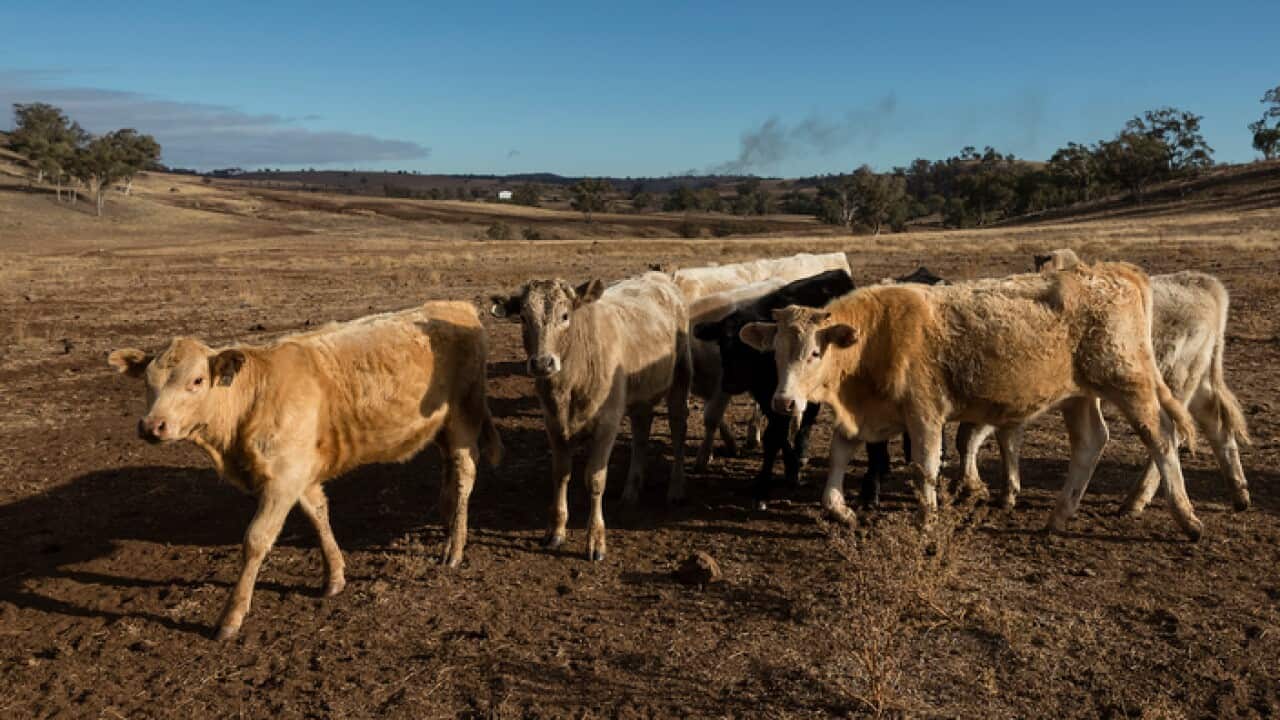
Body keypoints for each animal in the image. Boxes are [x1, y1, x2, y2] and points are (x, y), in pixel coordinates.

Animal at [108, 301, 502, 640]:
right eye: (147, 382)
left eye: (197, 381)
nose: (152, 426)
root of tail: (457, 306)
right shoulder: (300, 474)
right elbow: (318, 515)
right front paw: (335, 576)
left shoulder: (282, 478)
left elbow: (256, 539)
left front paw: (231, 617)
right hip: (441, 428)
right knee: (448, 469)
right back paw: (446, 515)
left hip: (464, 418)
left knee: (464, 474)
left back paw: (454, 547)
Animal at [490, 272, 691, 561]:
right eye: (524, 317)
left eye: (565, 316)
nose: (542, 363)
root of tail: (659, 276)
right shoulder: (554, 425)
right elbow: (561, 474)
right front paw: (556, 531)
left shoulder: (607, 424)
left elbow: (595, 480)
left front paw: (596, 540)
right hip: (639, 394)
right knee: (641, 433)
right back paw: (631, 490)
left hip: (680, 378)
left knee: (678, 428)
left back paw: (675, 489)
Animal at [739, 259, 1206, 541]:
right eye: (775, 352)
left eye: (815, 353)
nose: (783, 402)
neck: (877, 335)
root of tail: (1114, 271)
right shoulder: (869, 413)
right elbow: (839, 454)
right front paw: (840, 509)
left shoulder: (925, 413)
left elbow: (925, 467)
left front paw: (928, 519)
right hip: (1078, 394)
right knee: (1091, 442)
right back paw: (1058, 517)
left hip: (1129, 382)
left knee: (1161, 437)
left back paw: (1186, 517)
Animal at [958, 251, 1251, 512]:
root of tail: (1204, 283)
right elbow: (993, 437)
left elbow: (973, 436)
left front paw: (977, 487)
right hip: (1196, 381)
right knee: (1216, 424)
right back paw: (1240, 495)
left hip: (1172, 384)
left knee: (1170, 434)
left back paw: (1136, 500)